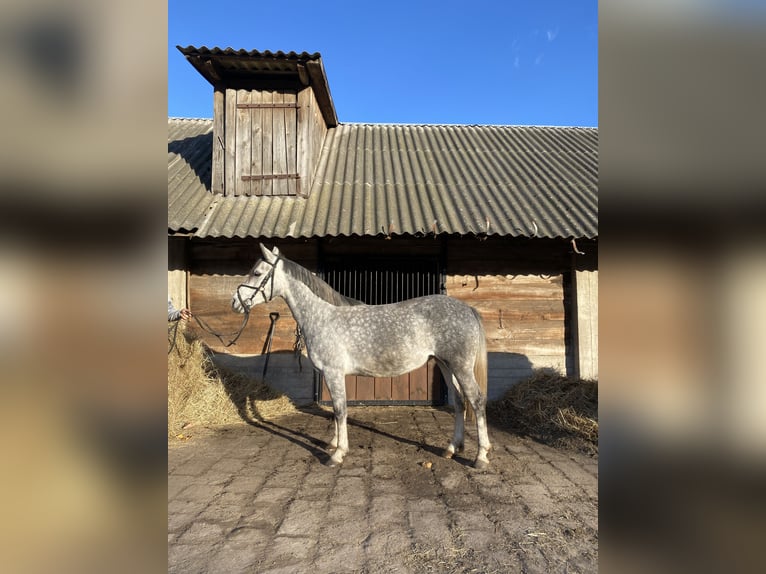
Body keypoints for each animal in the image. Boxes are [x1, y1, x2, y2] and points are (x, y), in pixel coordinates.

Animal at [232, 245, 492, 470]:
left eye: (257, 272)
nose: (235, 302)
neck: (322, 316)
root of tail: (467, 309)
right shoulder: (332, 374)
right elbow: (336, 410)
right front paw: (334, 445)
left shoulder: (334, 372)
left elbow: (340, 410)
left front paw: (337, 454)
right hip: (445, 364)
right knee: (459, 401)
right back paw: (451, 448)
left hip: (460, 367)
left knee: (476, 400)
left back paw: (480, 456)